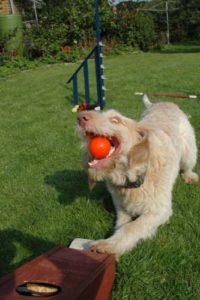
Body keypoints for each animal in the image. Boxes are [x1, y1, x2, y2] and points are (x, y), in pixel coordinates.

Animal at [77, 96, 198, 258]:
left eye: (115, 119)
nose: (81, 117)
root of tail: (166, 103)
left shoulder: (159, 210)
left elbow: (132, 227)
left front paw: (109, 245)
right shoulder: (121, 206)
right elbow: (122, 225)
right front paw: (115, 243)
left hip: (189, 152)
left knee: (188, 165)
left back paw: (190, 176)